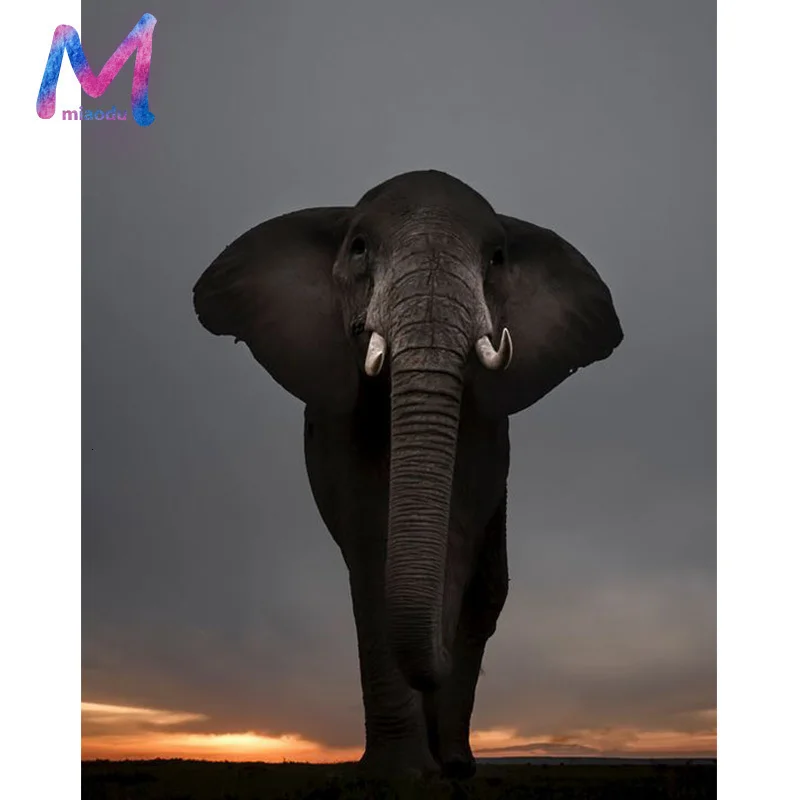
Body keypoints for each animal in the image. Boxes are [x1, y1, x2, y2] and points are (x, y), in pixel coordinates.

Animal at [193, 170, 623, 778]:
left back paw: (457, 761)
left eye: (497, 258)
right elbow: (369, 537)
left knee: (489, 592)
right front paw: (399, 772)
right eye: (358, 248)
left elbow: (459, 533)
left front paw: (431, 764)